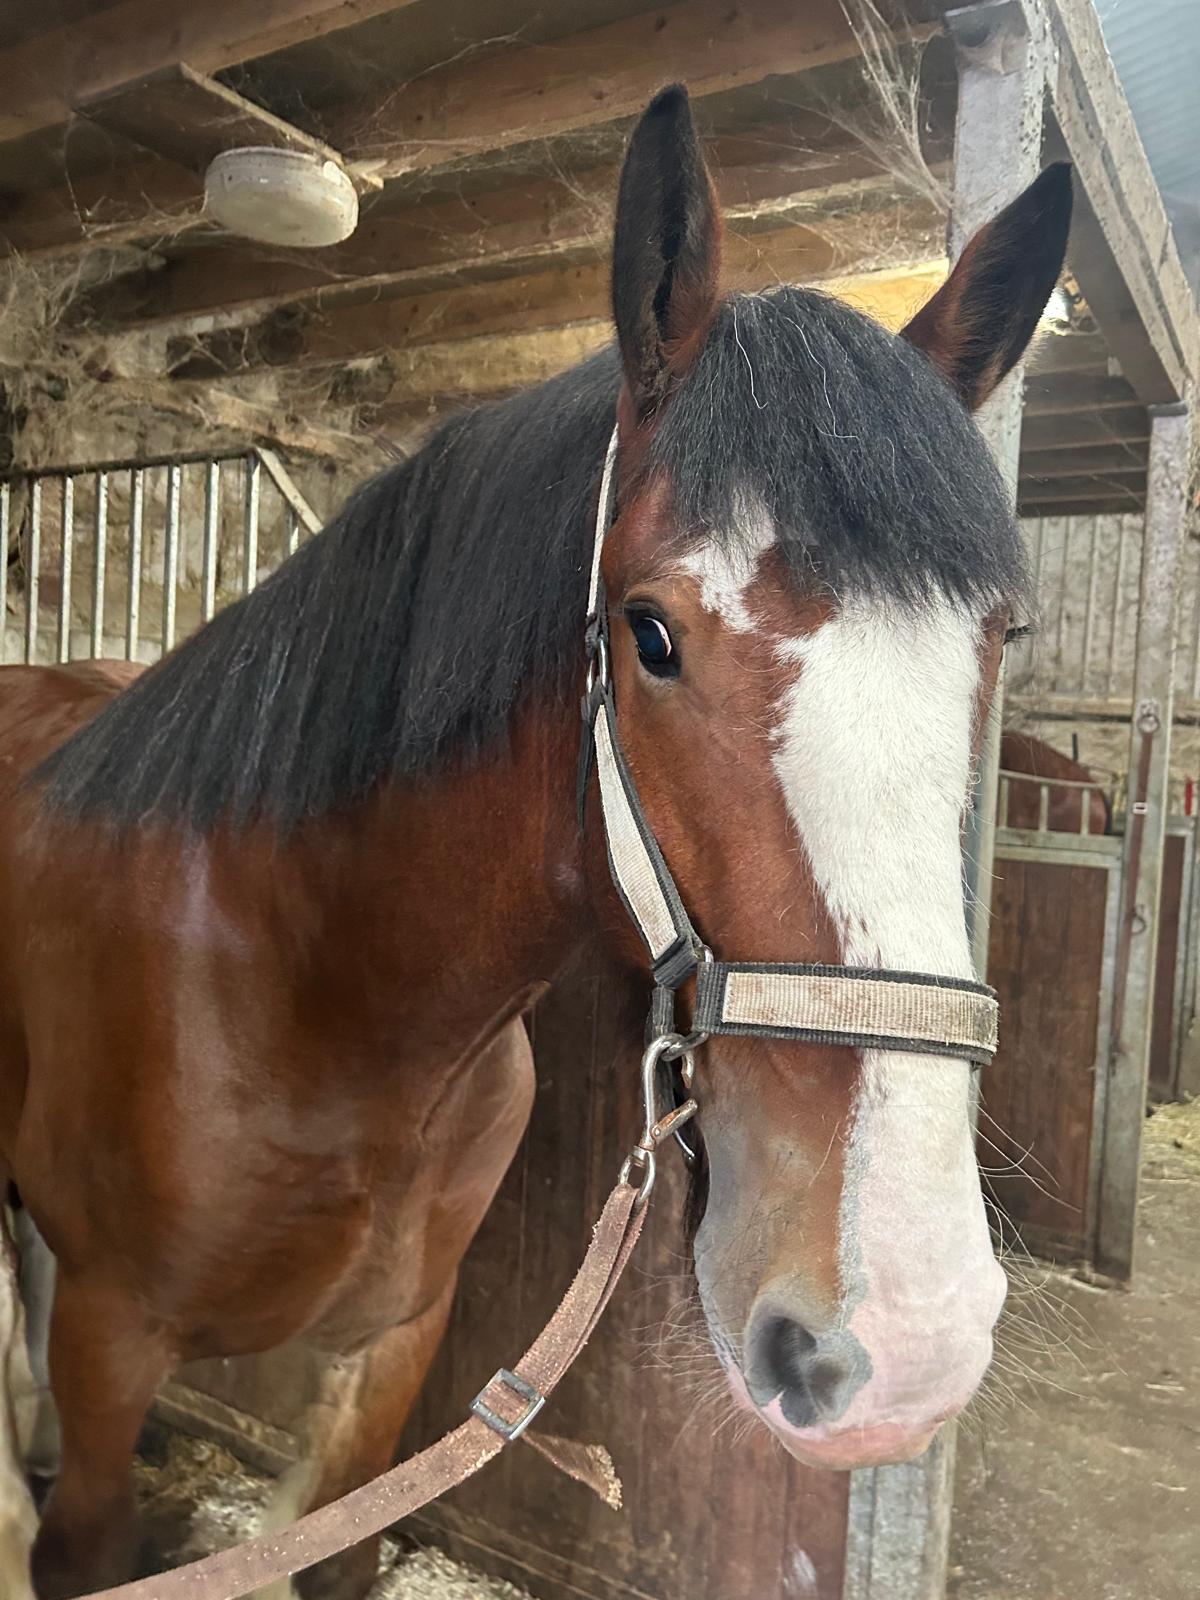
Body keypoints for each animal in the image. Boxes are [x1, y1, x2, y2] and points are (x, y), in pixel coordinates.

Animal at [0, 86, 1071, 1600]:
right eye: (651, 634)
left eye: (996, 642)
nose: (904, 1333)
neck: (310, 992)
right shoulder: (109, 1347)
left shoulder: (394, 1352)